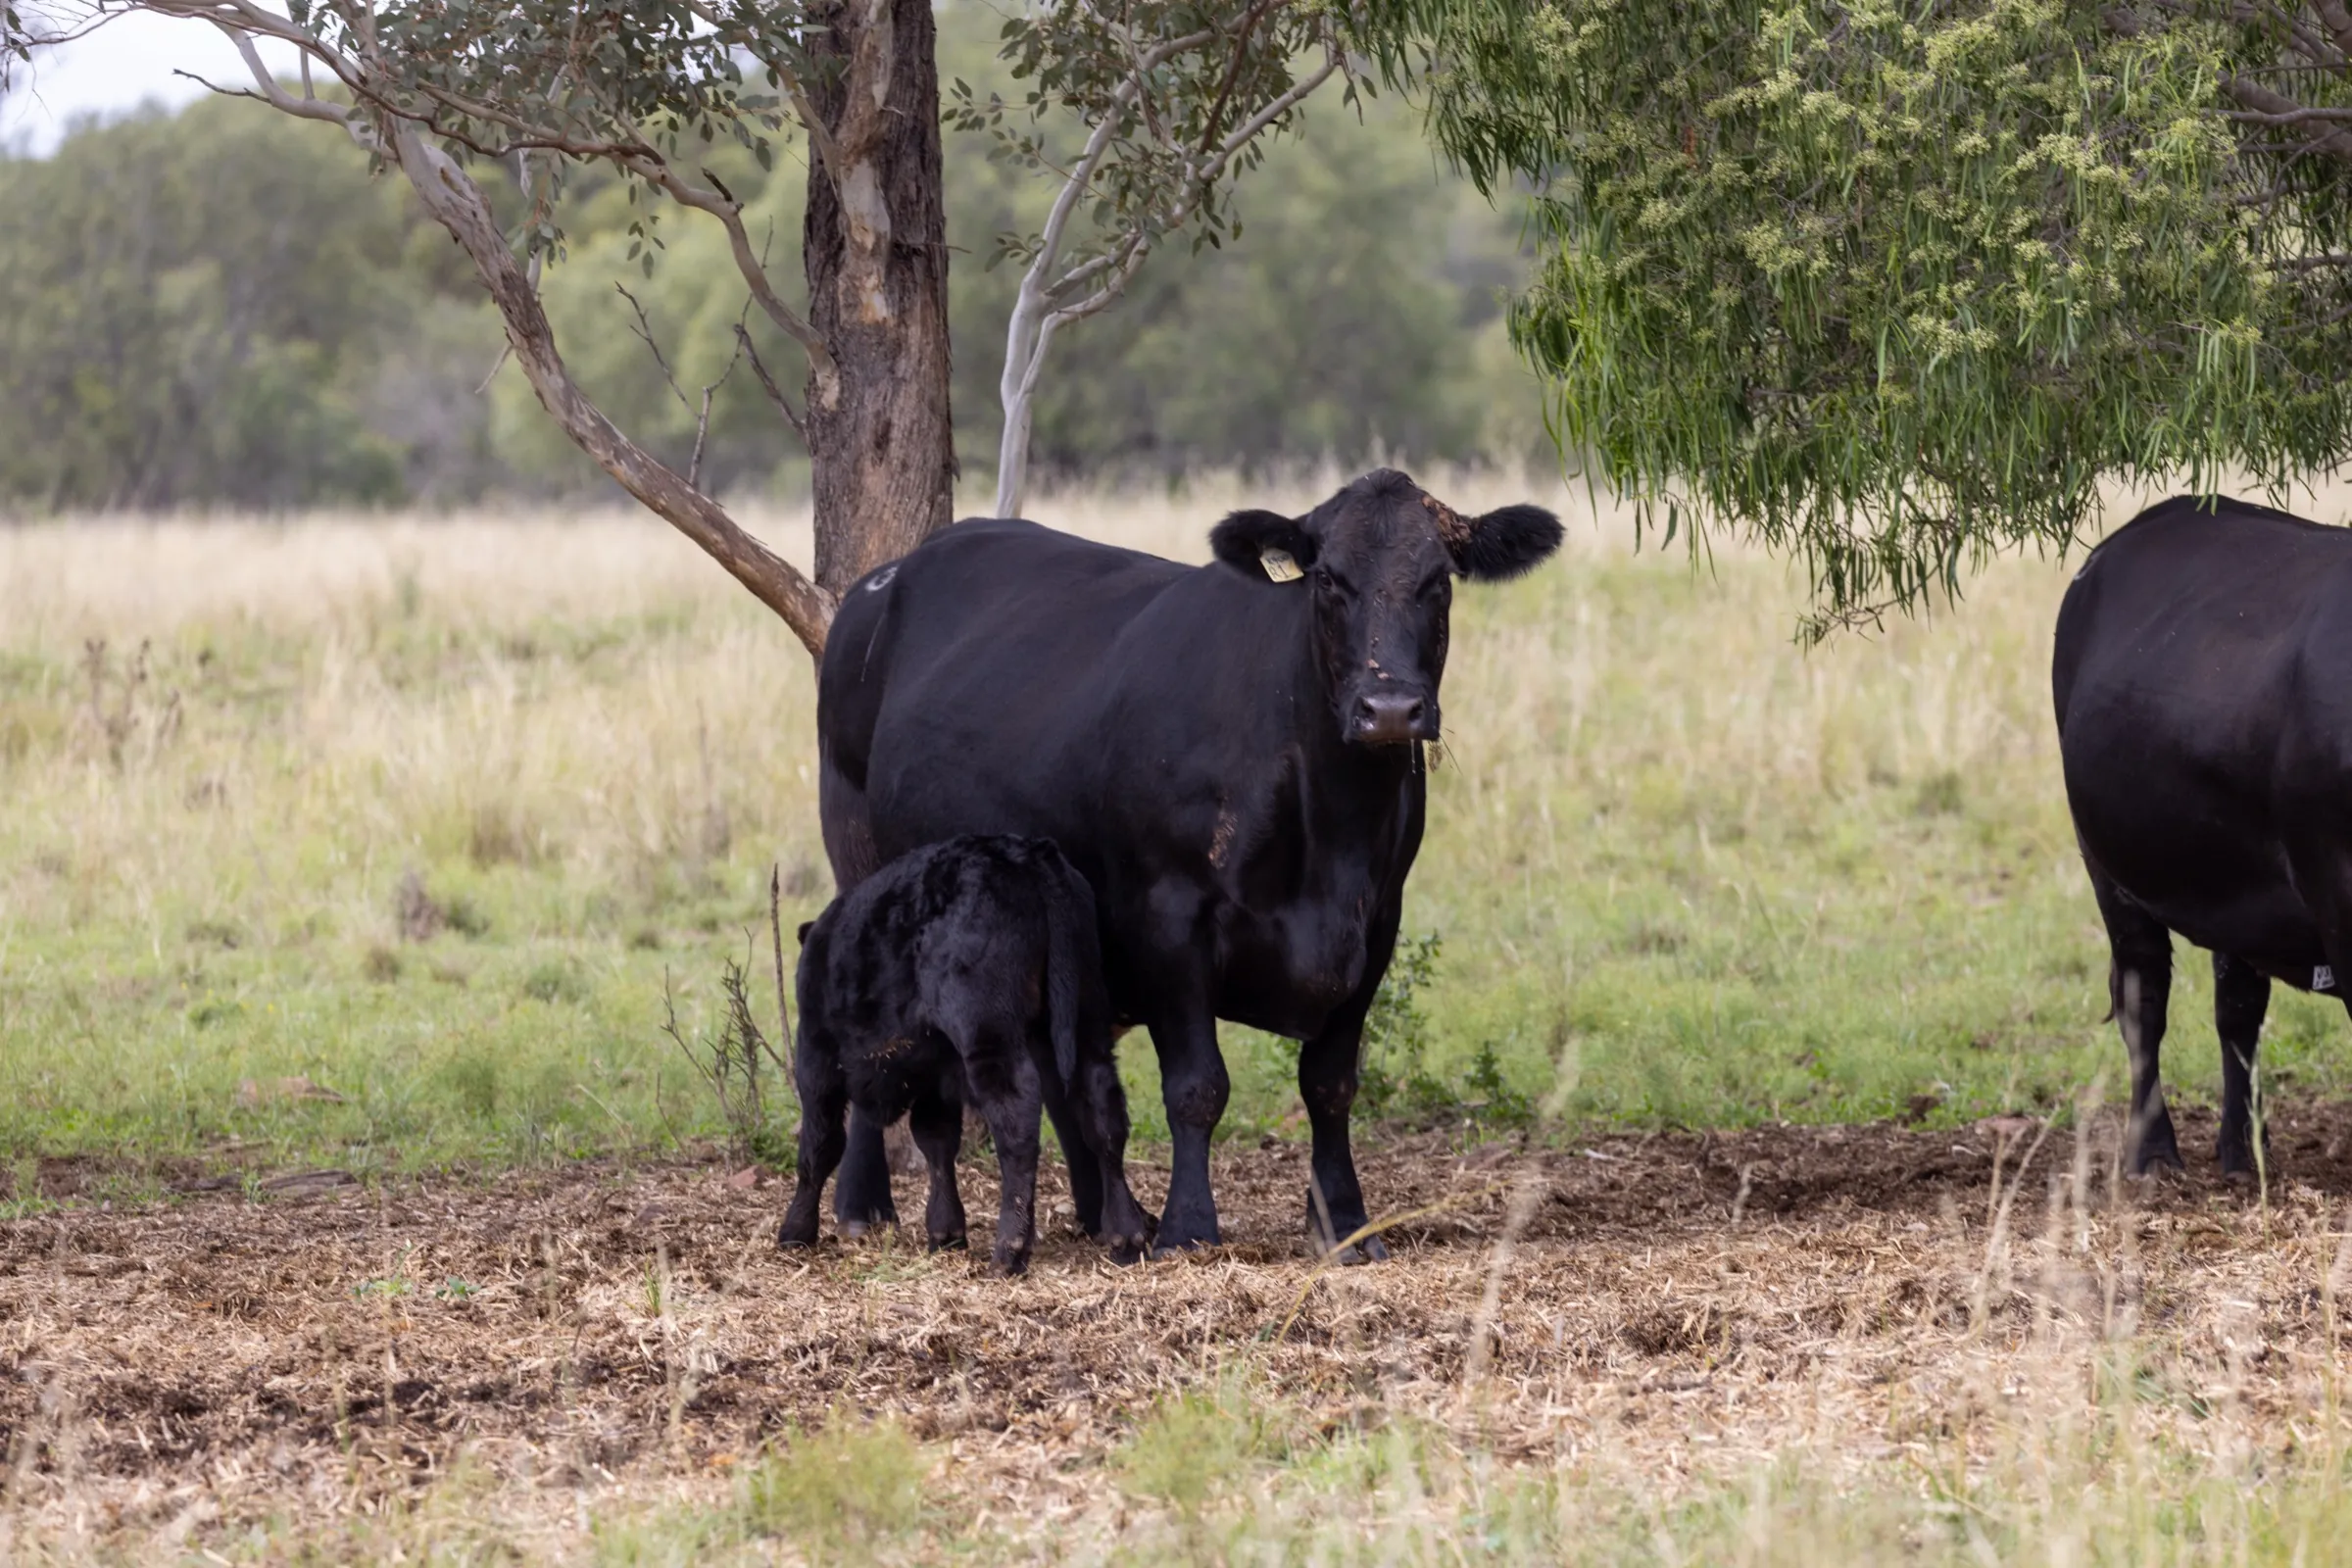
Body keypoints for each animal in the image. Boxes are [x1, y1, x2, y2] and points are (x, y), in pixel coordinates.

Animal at [777, 834, 1150, 1273]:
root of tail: (1027, 853)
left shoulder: (817, 1062)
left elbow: (819, 1146)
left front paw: (795, 1231)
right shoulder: (935, 1075)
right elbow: (935, 1141)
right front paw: (945, 1230)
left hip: (988, 1034)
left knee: (1018, 1121)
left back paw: (1010, 1249)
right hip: (1085, 1020)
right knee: (1103, 1114)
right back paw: (1127, 1235)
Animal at [810, 469, 1564, 1258]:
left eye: (1438, 581)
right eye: (1328, 579)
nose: (1388, 709)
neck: (1331, 831)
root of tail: (884, 581)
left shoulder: (1377, 922)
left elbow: (1330, 1085)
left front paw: (1344, 1222)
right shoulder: (1170, 919)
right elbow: (1198, 1086)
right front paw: (1189, 1224)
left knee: (1057, 1065)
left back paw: (1103, 1211)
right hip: (858, 856)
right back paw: (863, 1202)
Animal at [2054, 493, 2352, 1178]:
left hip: (2234, 888)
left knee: (2237, 1008)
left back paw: (2243, 1150)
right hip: (2108, 865)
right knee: (2144, 1000)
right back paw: (2152, 1152)